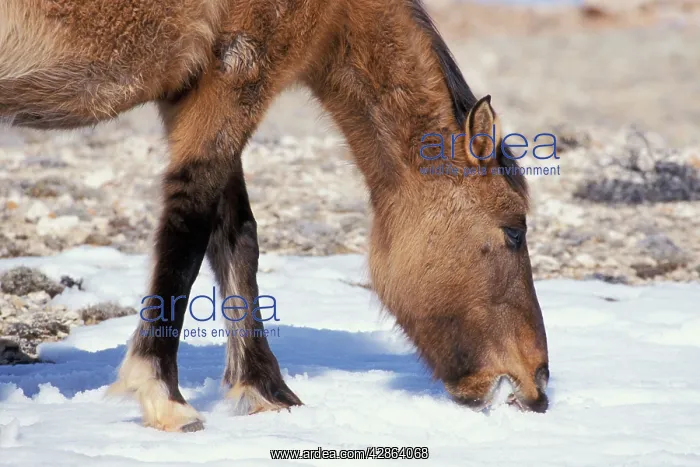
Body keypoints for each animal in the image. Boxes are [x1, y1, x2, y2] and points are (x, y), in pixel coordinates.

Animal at [0, 0, 549, 432]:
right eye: (513, 230)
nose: (539, 383)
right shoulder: (235, 76)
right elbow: (189, 227)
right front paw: (164, 397)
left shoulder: (198, 96)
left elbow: (237, 235)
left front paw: (265, 389)